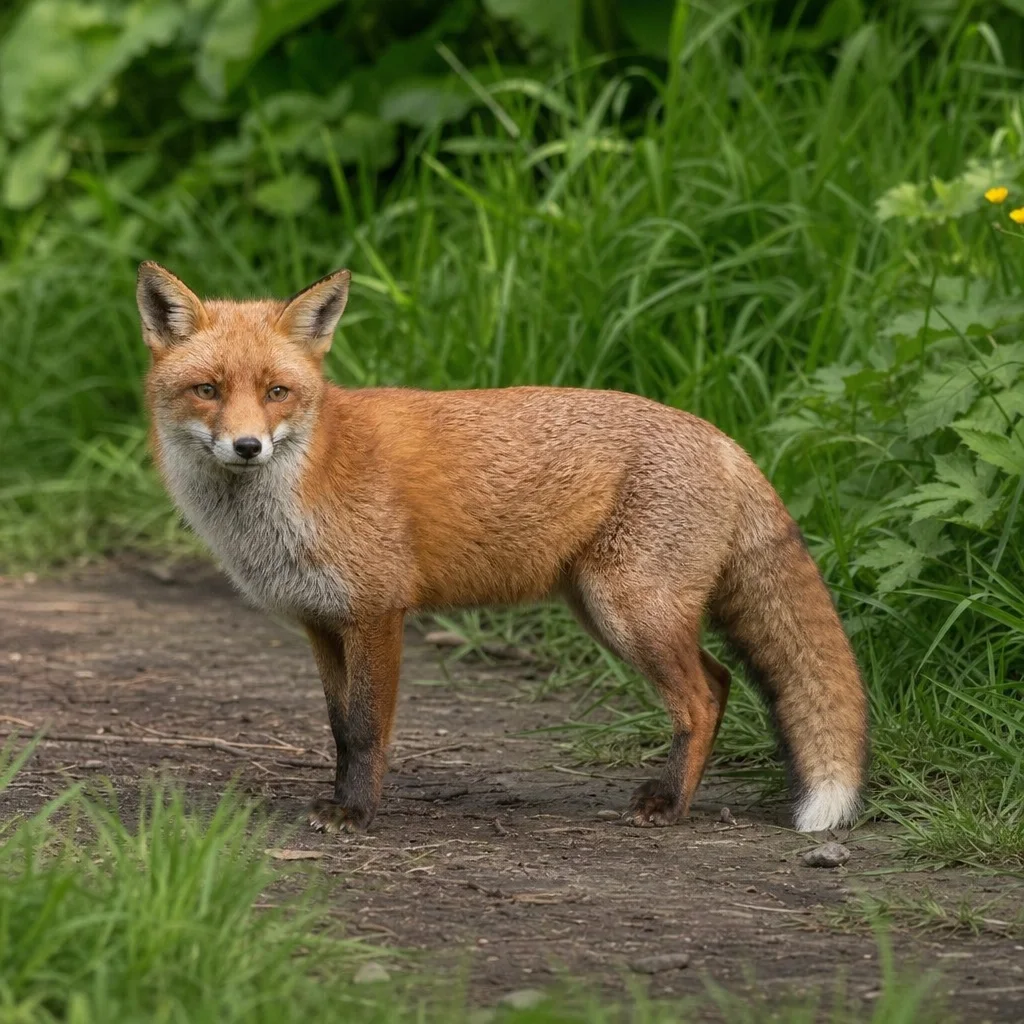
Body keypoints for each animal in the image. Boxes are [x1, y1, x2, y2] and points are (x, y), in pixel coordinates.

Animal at [136, 261, 869, 835]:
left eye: (276, 392)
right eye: (207, 390)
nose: (247, 446)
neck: (301, 483)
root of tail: (725, 439)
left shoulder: (377, 613)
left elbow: (369, 730)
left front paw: (358, 814)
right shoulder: (321, 623)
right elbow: (341, 729)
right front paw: (342, 801)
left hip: (631, 612)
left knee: (703, 697)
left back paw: (669, 805)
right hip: (605, 612)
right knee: (719, 681)